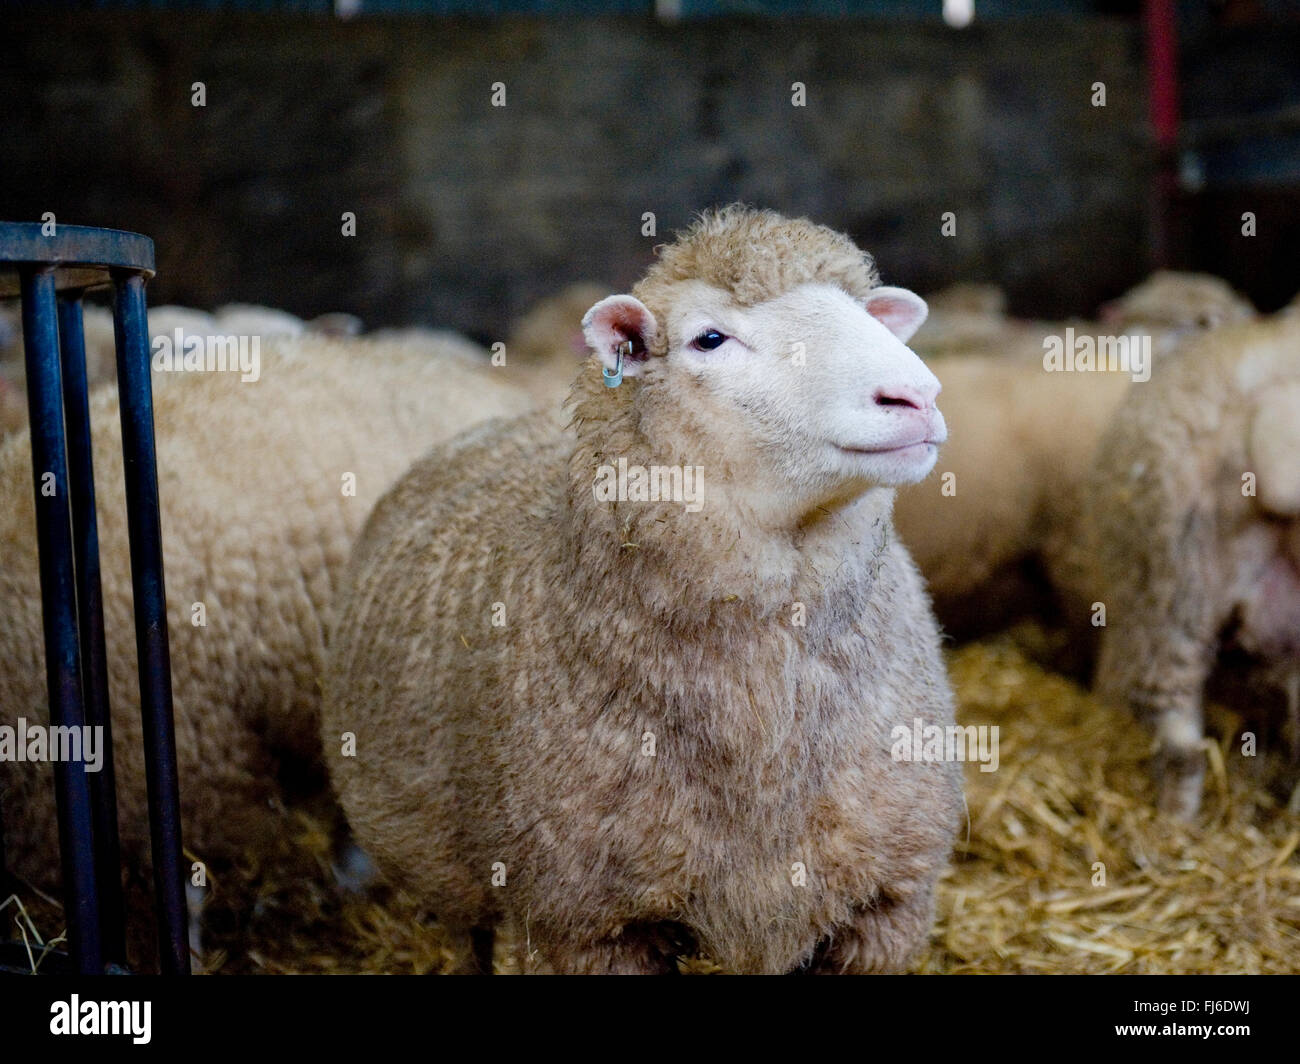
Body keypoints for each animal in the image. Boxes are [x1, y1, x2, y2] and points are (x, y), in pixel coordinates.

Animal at [319, 202, 961, 972]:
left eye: (866, 315)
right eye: (709, 338)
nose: (917, 395)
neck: (763, 736)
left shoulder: (888, 903)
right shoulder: (585, 926)